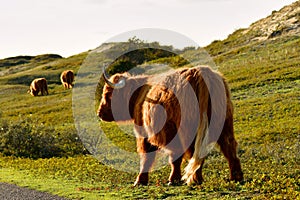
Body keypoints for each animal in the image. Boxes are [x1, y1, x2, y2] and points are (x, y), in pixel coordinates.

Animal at [97, 65, 243, 186]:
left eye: (107, 94)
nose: (99, 113)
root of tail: (201, 73)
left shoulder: (147, 133)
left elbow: (148, 156)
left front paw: (141, 181)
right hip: (224, 123)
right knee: (228, 147)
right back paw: (235, 177)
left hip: (186, 129)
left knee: (191, 152)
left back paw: (191, 179)